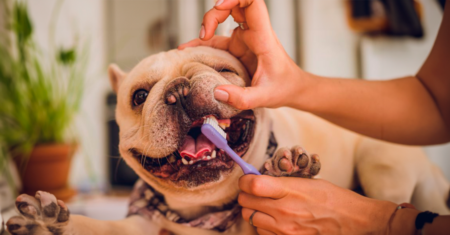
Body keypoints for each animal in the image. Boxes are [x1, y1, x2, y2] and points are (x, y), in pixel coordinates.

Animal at [7, 46, 450, 235]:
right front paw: (45, 223)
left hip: (381, 164)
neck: (206, 208)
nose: (179, 89)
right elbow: (96, 227)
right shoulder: (140, 225)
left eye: (225, 71)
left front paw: (290, 174)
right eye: (139, 96)